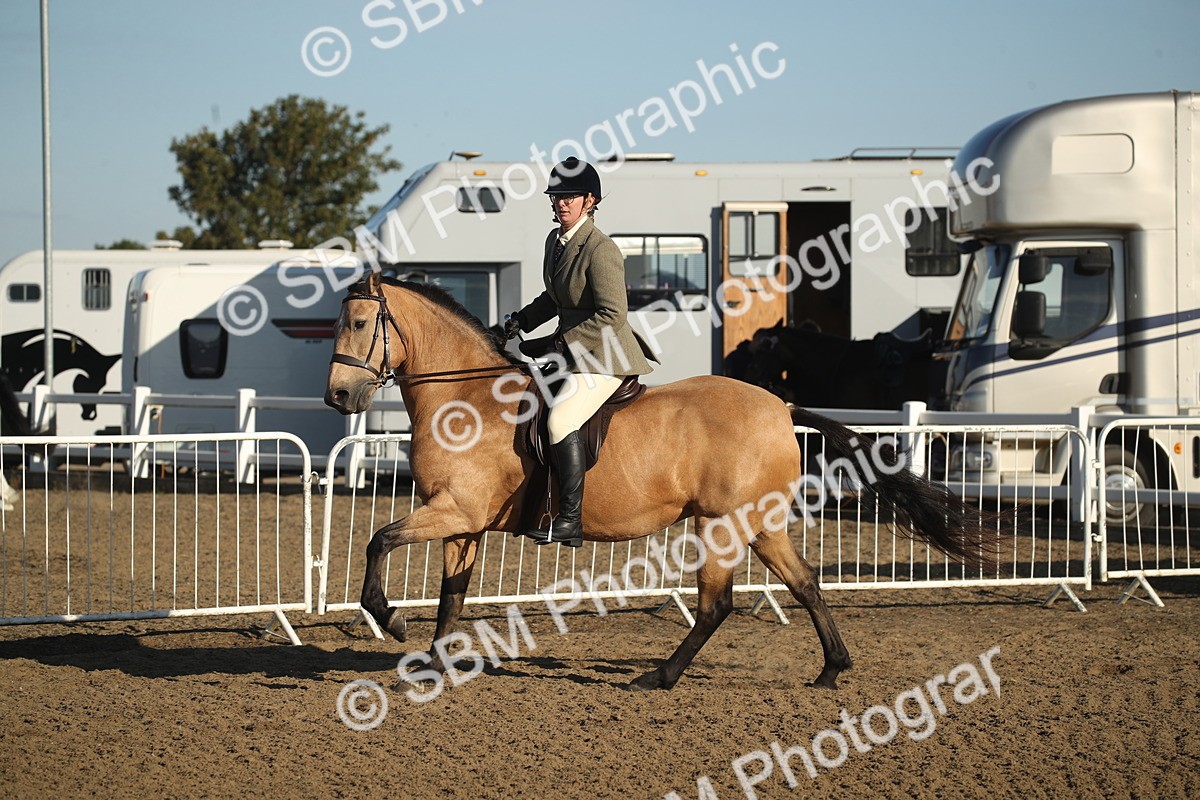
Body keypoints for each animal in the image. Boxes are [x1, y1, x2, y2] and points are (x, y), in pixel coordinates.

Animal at [324, 273, 995, 690]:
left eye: (357, 323)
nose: (338, 397)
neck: (468, 400)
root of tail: (780, 406)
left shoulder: (456, 510)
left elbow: (380, 541)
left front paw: (391, 620)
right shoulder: (463, 521)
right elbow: (451, 598)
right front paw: (433, 664)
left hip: (722, 526)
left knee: (716, 605)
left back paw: (661, 677)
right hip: (759, 525)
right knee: (805, 583)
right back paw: (831, 669)